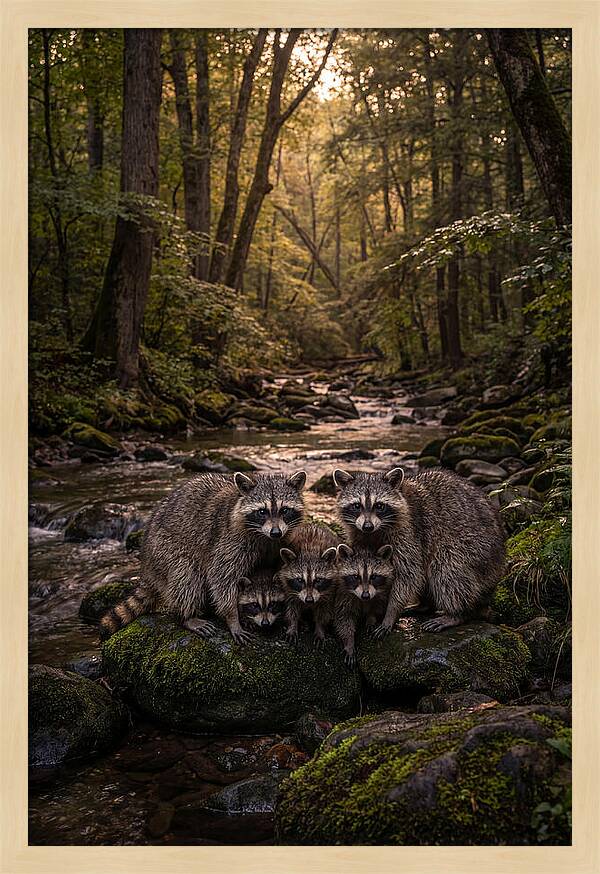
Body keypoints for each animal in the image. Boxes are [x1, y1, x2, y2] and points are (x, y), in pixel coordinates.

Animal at [101, 469, 306, 644]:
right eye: (262, 511)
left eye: (284, 510)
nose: (275, 532)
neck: (264, 537)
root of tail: (146, 564)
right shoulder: (229, 541)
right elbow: (222, 579)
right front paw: (233, 617)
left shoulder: (279, 543)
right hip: (164, 549)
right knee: (186, 576)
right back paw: (187, 616)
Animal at [333, 466, 505, 635]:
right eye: (357, 506)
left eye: (379, 506)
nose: (367, 526)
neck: (375, 531)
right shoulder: (358, 533)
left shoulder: (409, 532)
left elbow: (409, 574)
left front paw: (391, 612)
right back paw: (425, 605)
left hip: (475, 549)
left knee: (447, 569)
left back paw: (456, 613)